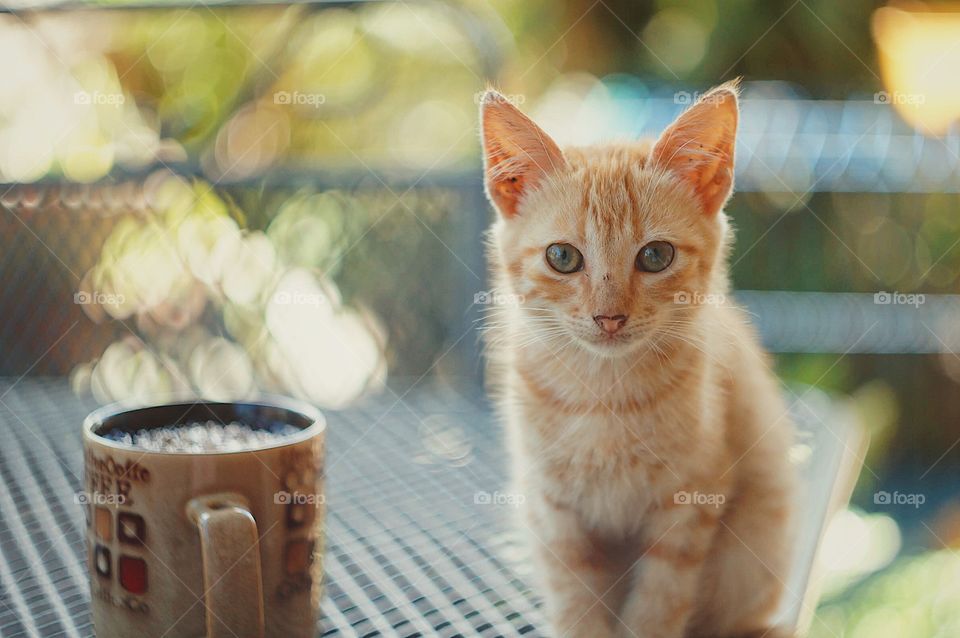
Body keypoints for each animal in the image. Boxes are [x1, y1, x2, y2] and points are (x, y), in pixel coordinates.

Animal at [480, 82, 796, 636]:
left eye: (655, 256)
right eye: (562, 257)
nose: (610, 318)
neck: (604, 395)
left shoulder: (690, 501)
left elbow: (659, 601)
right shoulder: (552, 508)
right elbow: (575, 600)